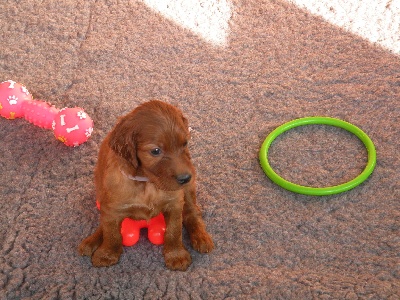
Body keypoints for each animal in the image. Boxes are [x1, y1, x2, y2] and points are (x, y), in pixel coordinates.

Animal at [79, 99, 214, 270]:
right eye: (155, 151)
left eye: (185, 144)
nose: (186, 178)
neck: (147, 182)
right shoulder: (112, 209)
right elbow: (111, 233)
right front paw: (107, 253)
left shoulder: (175, 203)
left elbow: (174, 230)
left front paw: (176, 255)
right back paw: (91, 241)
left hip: (188, 191)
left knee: (192, 212)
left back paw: (201, 237)